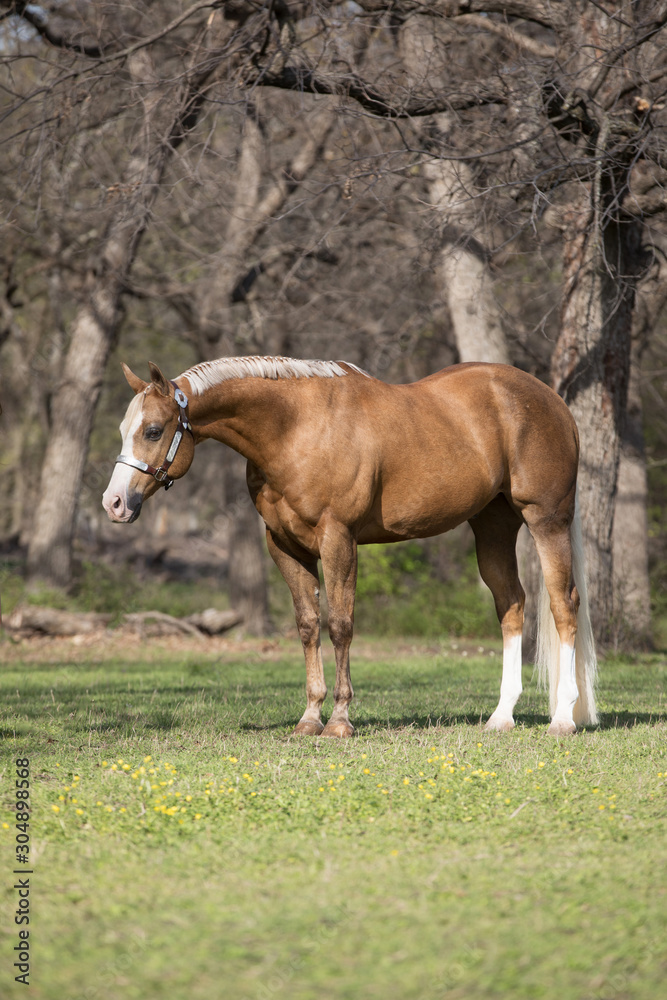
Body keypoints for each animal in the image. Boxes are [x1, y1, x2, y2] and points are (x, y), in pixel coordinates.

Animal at [102, 356, 597, 738]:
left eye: (153, 430)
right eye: (124, 428)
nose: (114, 503)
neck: (294, 428)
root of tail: (553, 402)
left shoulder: (338, 539)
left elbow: (340, 625)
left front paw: (339, 721)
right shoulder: (285, 547)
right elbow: (307, 626)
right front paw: (309, 718)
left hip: (546, 519)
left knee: (563, 603)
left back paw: (563, 719)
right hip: (492, 526)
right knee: (511, 605)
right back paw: (501, 717)